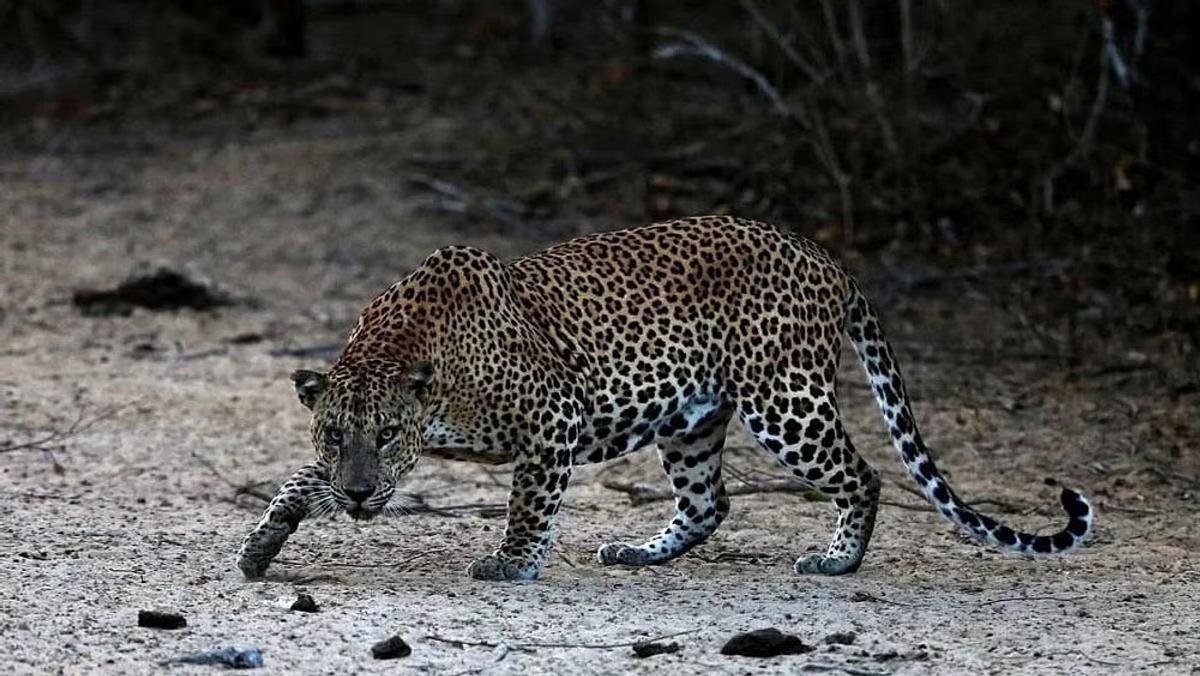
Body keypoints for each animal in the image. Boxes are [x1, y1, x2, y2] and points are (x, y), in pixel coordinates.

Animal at [236, 216, 1093, 581]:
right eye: (337, 434)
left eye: (387, 434)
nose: (360, 491)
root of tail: (824, 257)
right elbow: (298, 484)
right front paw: (265, 540)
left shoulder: (553, 421)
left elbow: (528, 503)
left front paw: (512, 563)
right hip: (692, 419)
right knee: (711, 500)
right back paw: (640, 551)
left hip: (785, 399)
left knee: (865, 475)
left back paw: (838, 560)